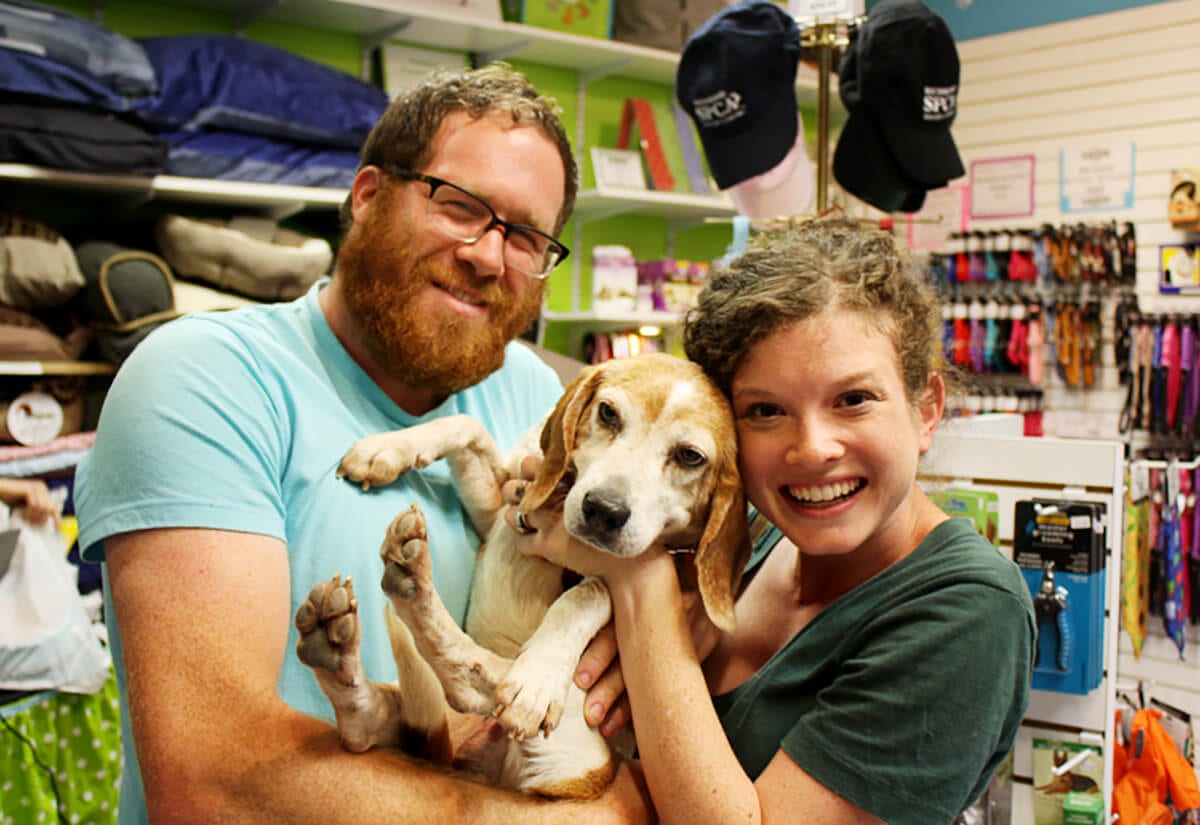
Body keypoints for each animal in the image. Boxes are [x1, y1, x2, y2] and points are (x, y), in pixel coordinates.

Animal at [294, 352, 744, 801]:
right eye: (608, 413)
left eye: (690, 457)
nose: (603, 510)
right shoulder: (501, 508)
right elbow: (467, 427)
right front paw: (388, 448)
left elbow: (592, 591)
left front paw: (540, 674)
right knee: (373, 724)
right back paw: (335, 646)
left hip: (570, 727)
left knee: (475, 679)